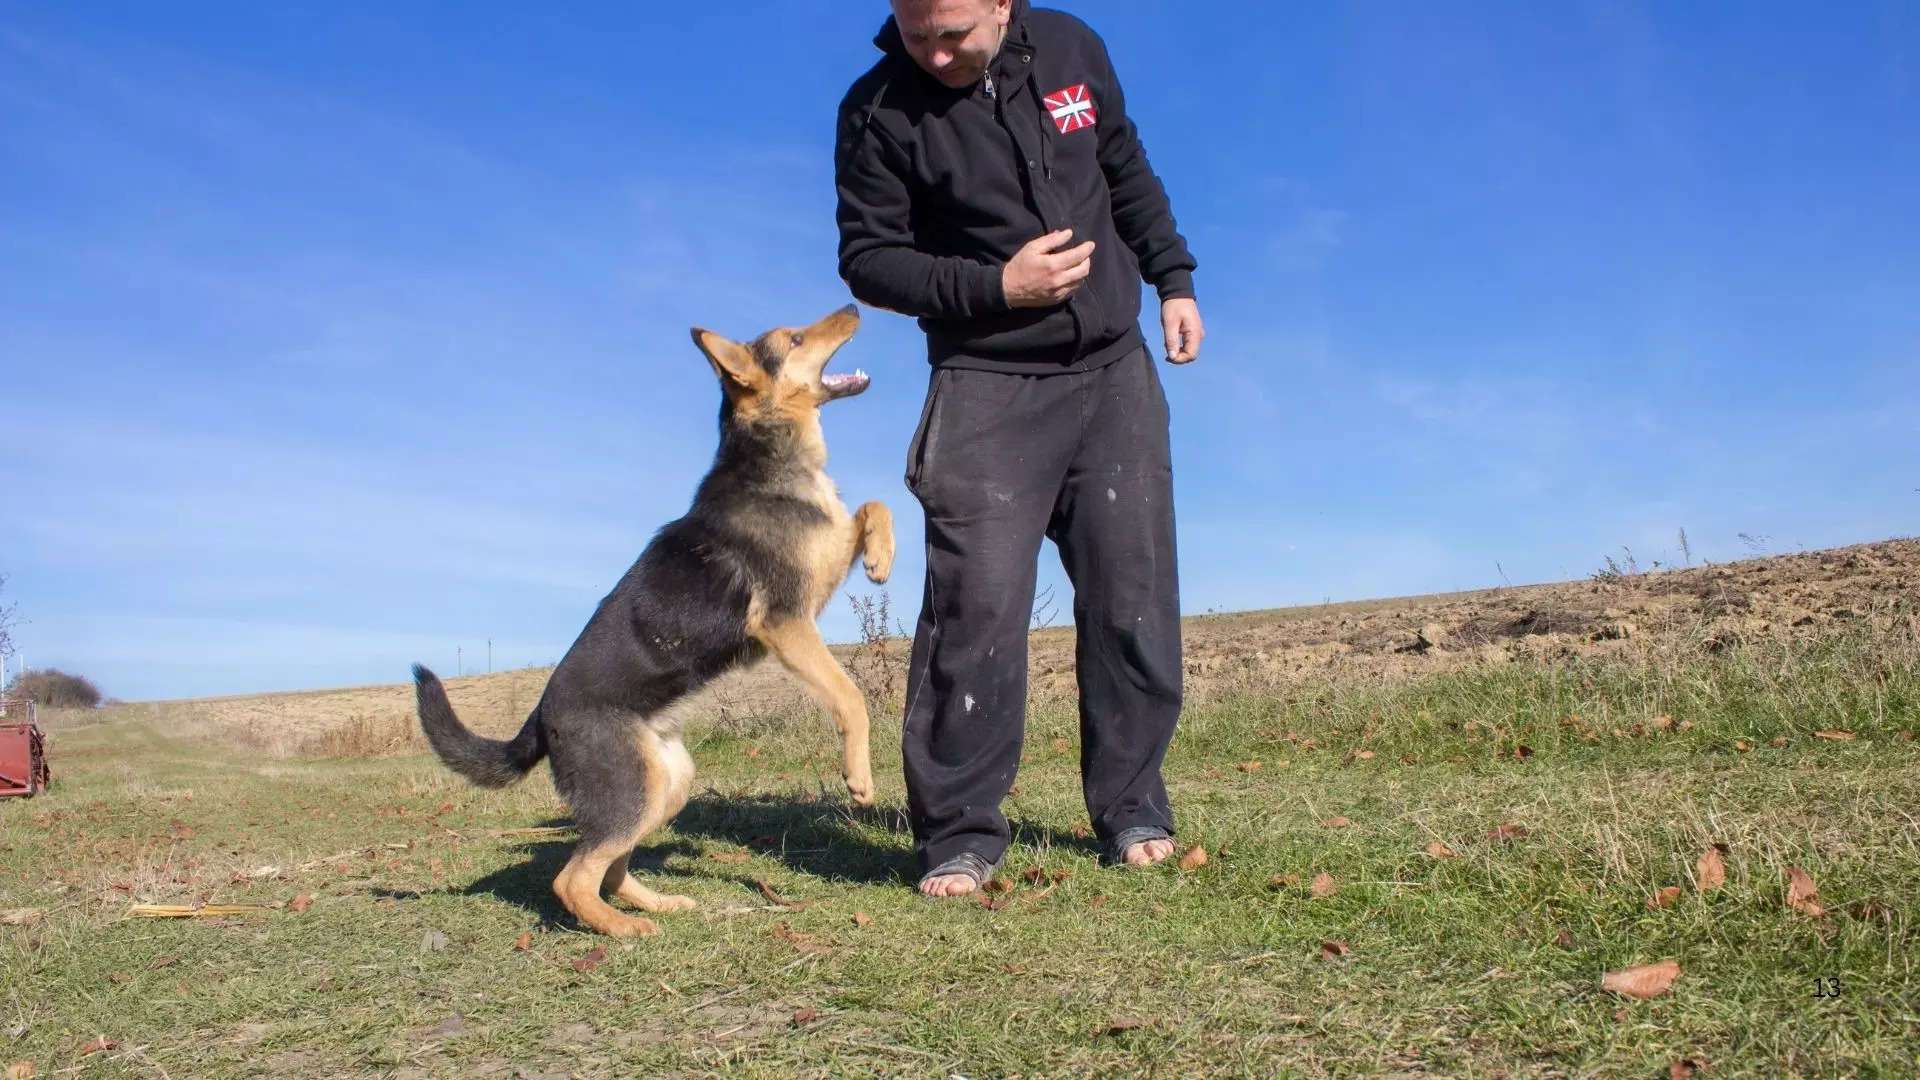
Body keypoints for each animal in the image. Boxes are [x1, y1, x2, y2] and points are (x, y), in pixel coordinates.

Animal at [412, 303, 890, 933]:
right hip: (631, 791)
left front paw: (883, 557)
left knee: (608, 865)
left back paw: (655, 903)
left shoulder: (823, 565)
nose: (856, 306)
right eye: (794, 339)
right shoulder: (788, 620)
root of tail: (539, 720)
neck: (768, 455)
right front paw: (858, 777)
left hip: (665, 785)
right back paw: (623, 928)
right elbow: (850, 695)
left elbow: (872, 506)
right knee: (572, 876)